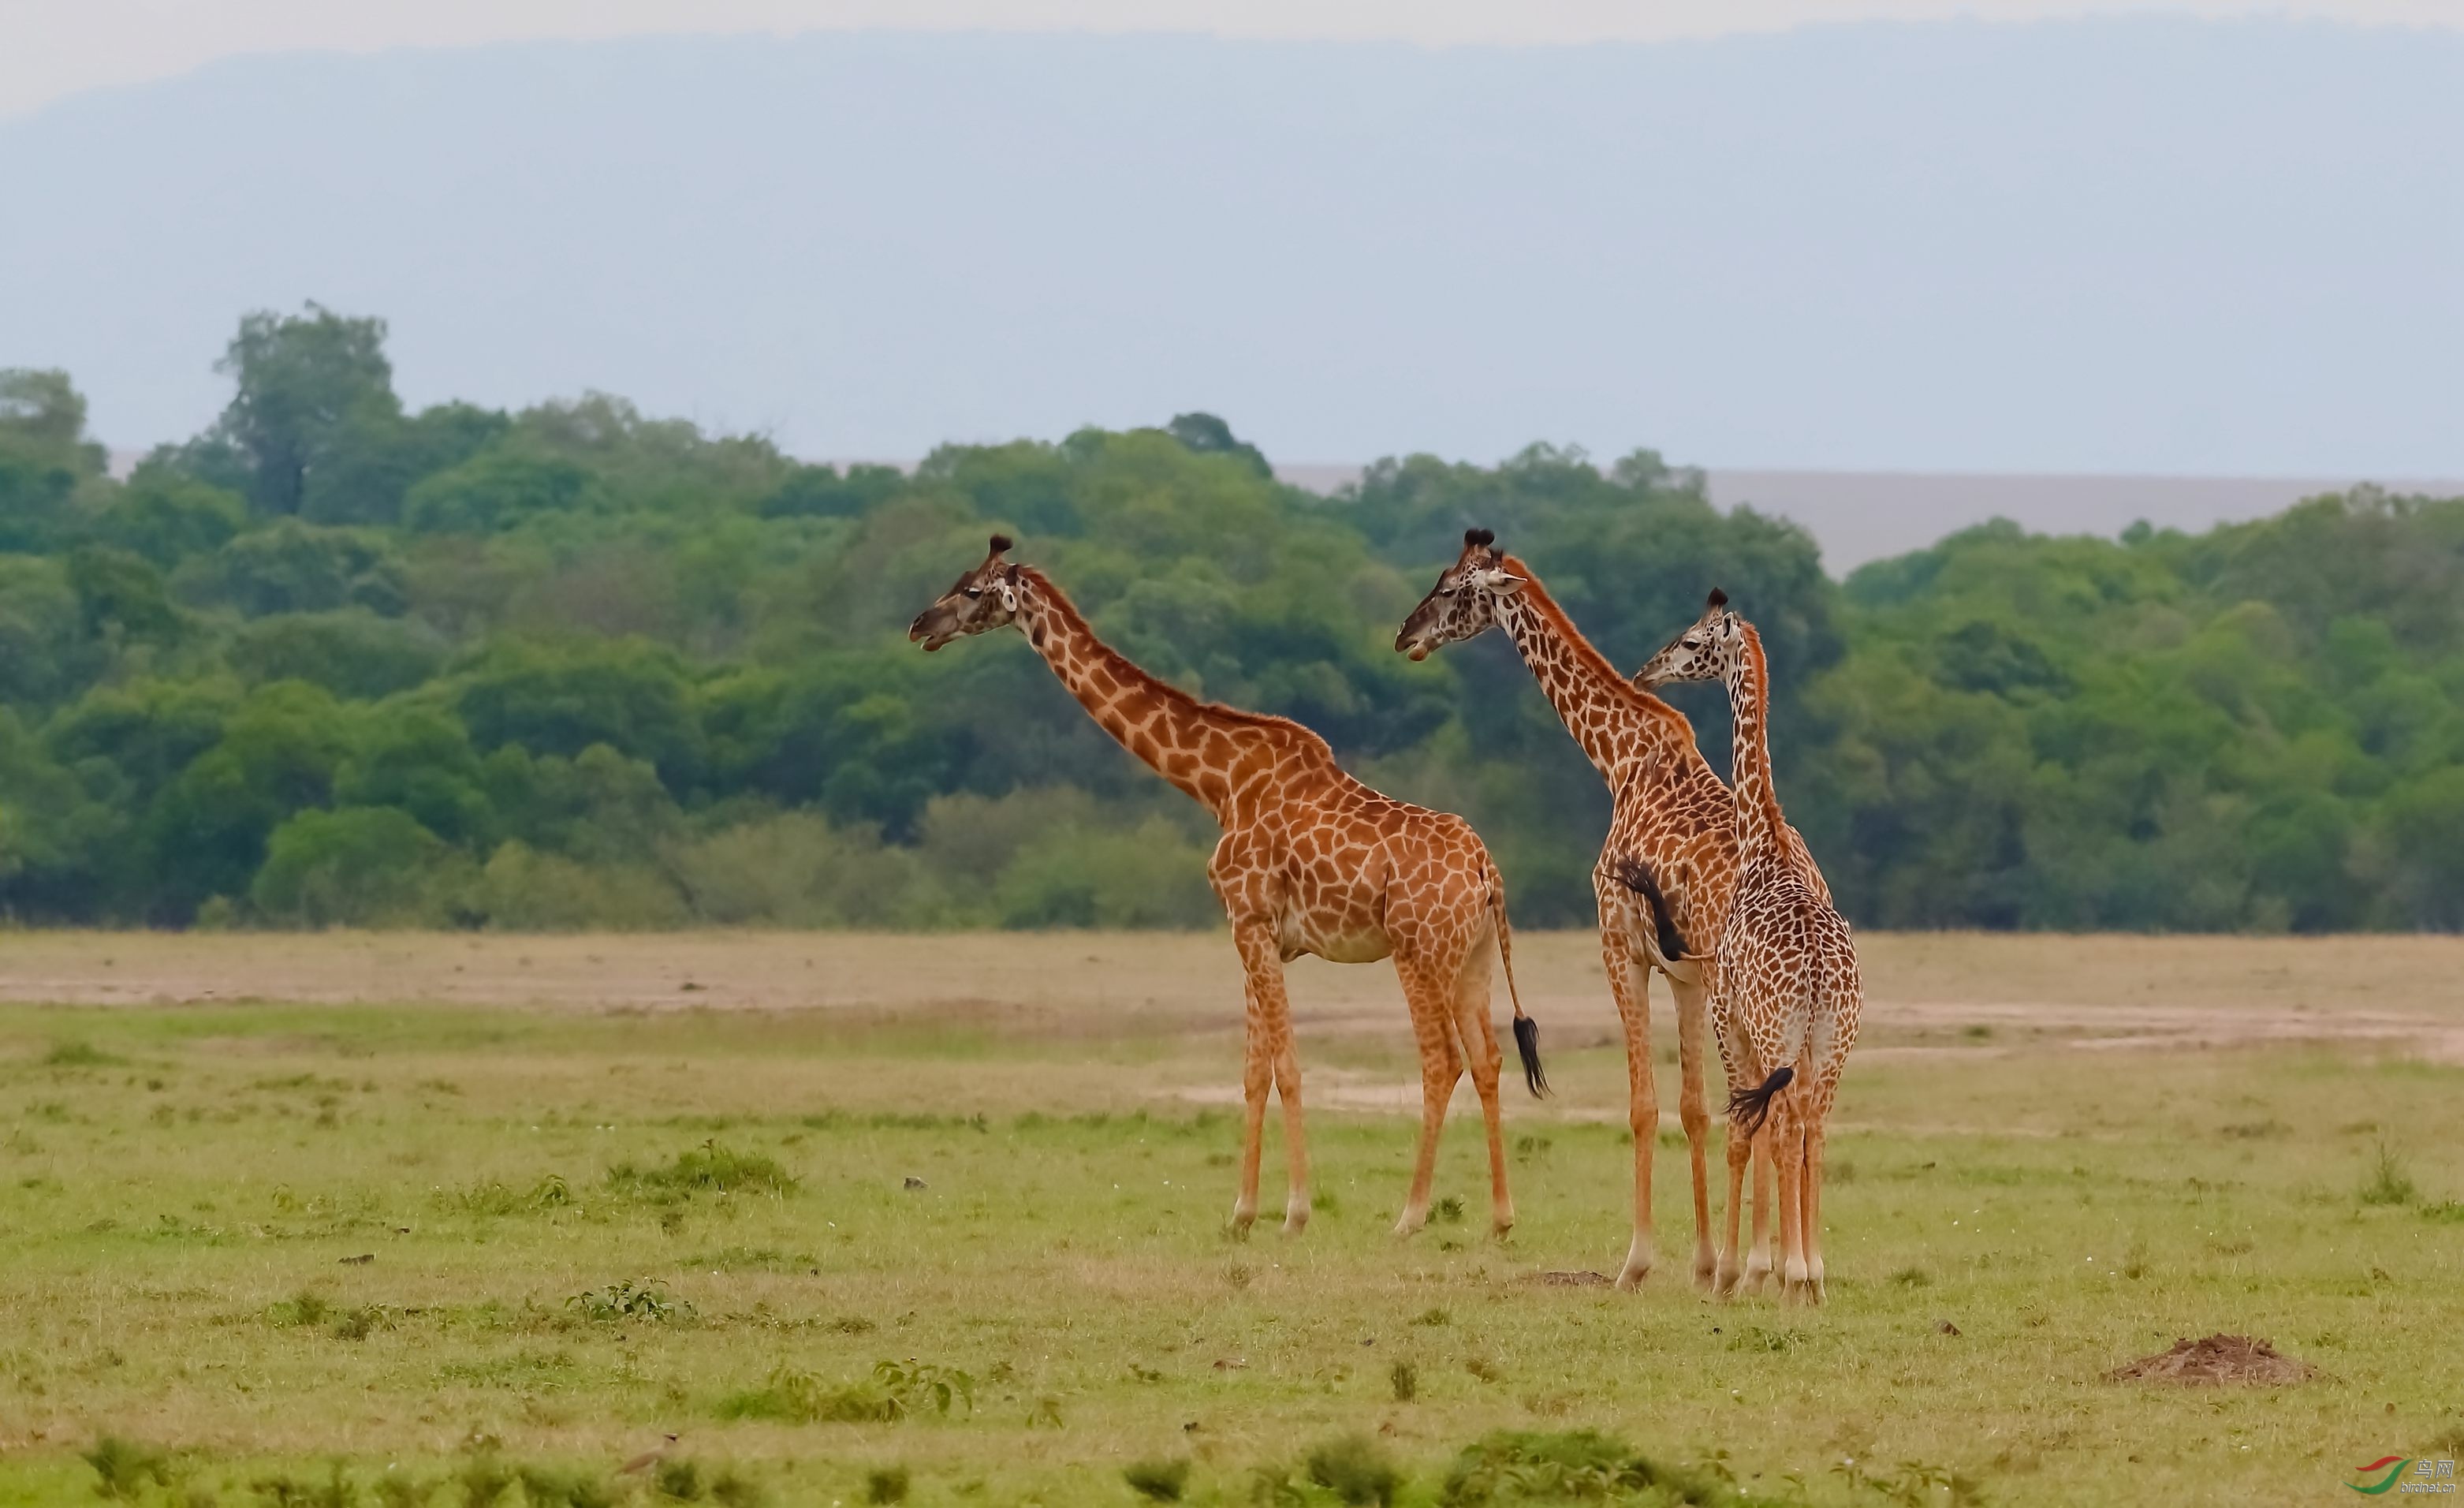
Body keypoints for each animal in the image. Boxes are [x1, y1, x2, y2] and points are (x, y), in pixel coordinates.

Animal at [916, 537, 1547, 1241]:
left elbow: (1288, 1068)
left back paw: (1408, 1217)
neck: (1217, 783)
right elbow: (1253, 1073)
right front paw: (1242, 1214)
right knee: (1488, 1060)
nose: (920, 626)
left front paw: (1294, 1214)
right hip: (1473, 957)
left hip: (1418, 951)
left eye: (972, 591)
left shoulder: (1248, 921)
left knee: (1442, 1061)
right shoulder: (1261, 936)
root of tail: (1486, 871)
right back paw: (1500, 1220)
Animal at [1400, 527, 1823, 1281]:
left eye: (1450, 588)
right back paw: (1783, 1265)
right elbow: (1692, 1108)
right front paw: (1703, 1263)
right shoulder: (1684, 976)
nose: (1405, 636)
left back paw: (1769, 1267)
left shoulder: (1619, 949)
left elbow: (1642, 1106)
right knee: (1792, 1108)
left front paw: (1638, 1263)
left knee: (1775, 1109)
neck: (1620, 759)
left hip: (1747, 1004)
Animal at [1646, 584, 1853, 1301]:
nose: (1647, 670)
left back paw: (1794, 1277)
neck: (1764, 848)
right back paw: (1813, 1277)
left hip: (1775, 1033)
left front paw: (1730, 1276)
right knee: (1813, 1127)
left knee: (1785, 1125)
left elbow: (1742, 1130)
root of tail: (1818, 975)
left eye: (1689, 640)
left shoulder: (1726, 1016)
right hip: (1831, 1043)